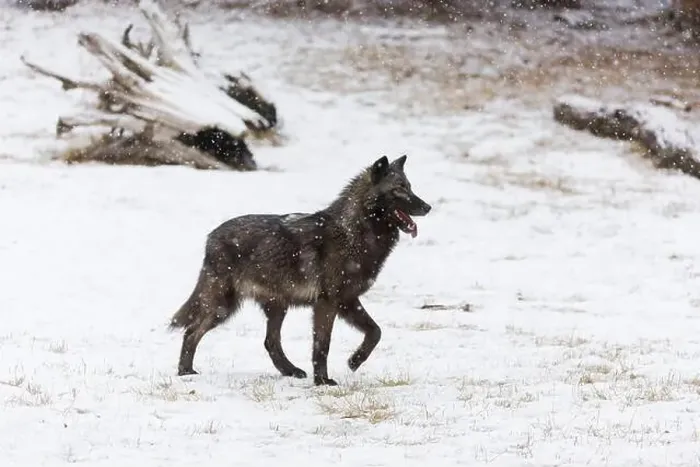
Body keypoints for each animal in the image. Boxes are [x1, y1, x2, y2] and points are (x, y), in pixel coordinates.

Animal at [169, 155, 432, 386]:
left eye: (410, 186)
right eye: (399, 189)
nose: (428, 206)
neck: (353, 232)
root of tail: (211, 237)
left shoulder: (348, 301)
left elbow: (375, 331)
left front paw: (354, 361)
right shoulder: (328, 303)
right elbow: (322, 345)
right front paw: (323, 381)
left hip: (274, 307)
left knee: (269, 342)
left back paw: (291, 371)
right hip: (223, 307)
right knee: (192, 331)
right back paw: (185, 373)